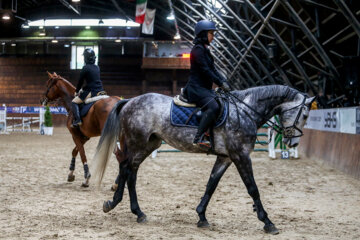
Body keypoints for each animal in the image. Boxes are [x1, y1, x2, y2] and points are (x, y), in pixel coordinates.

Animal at [93, 86, 316, 234]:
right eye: (305, 114)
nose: (293, 142)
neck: (245, 111)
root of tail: (130, 101)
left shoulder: (225, 158)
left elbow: (211, 184)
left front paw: (201, 216)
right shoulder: (241, 156)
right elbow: (252, 188)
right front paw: (268, 222)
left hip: (149, 144)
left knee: (131, 171)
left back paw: (136, 212)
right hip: (136, 142)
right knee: (125, 168)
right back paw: (116, 204)